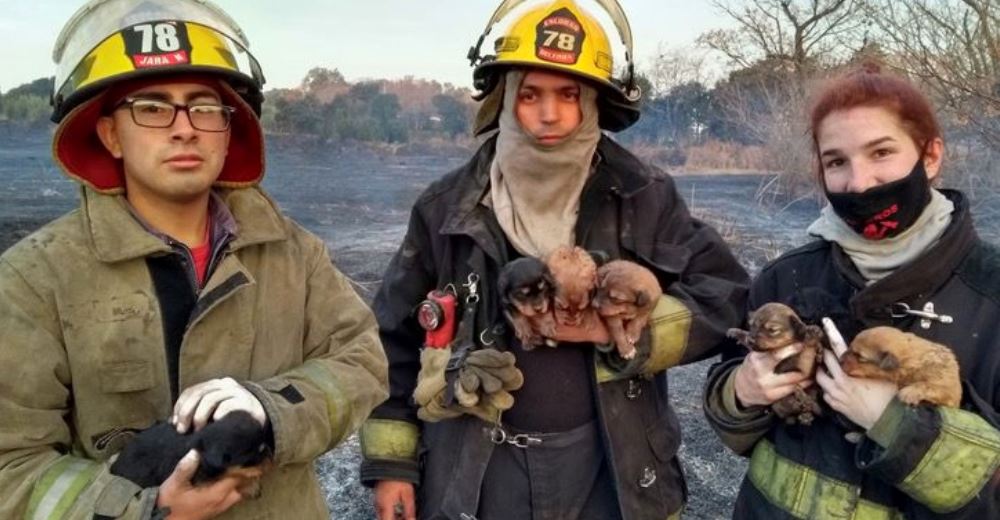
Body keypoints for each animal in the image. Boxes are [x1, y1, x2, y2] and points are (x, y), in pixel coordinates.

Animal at [110, 412, 270, 494]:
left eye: (263, 443)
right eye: (249, 458)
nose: (269, 456)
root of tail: (114, 466)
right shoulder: (201, 477)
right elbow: (229, 474)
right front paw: (251, 485)